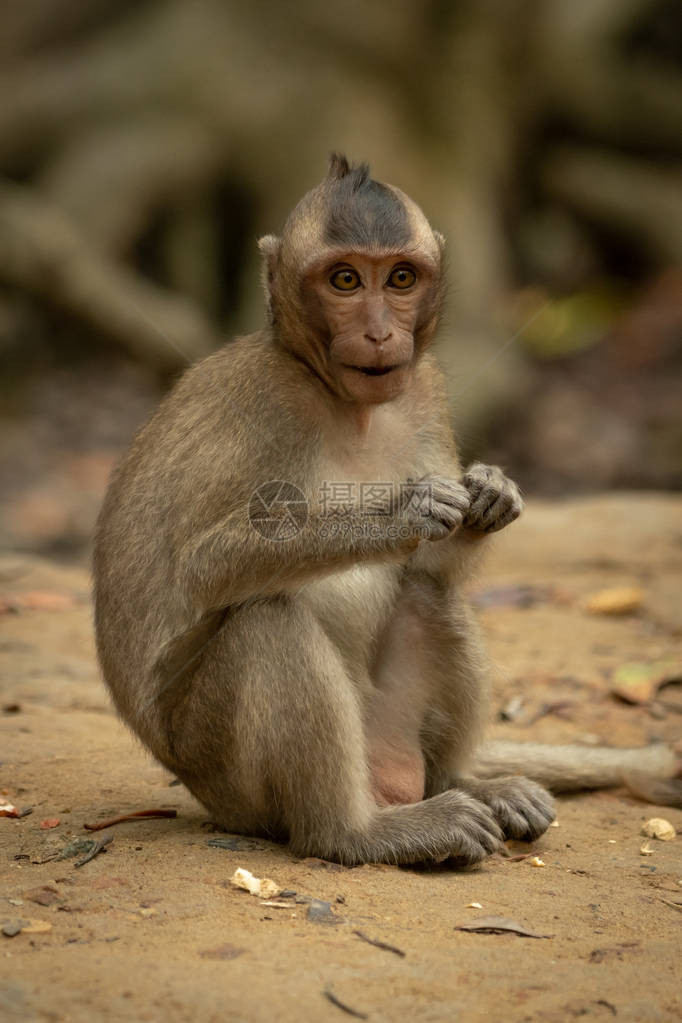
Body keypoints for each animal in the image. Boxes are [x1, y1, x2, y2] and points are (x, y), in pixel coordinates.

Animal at [92, 155, 682, 867]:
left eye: (401, 278)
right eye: (344, 280)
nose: (379, 332)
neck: (341, 399)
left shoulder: (424, 385)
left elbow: (434, 565)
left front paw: (491, 494)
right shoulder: (264, 402)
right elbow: (204, 567)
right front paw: (402, 514)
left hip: (385, 730)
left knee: (430, 599)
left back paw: (466, 783)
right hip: (223, 773)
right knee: (267, 619)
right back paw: (354, 833)